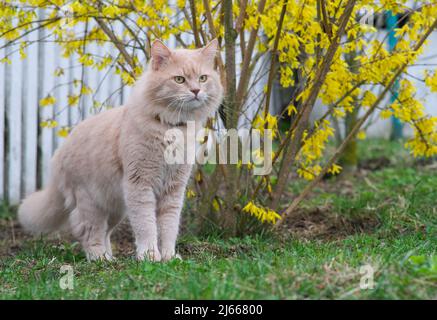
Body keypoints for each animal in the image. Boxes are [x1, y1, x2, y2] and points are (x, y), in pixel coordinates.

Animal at [17, 38, 223, 262]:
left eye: (203, 78)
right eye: (179, 79)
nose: (196, 91)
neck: (172, 128)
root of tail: (60, 152)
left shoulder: (173, 189)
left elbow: (169, 227)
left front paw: (168, 256)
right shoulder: (140, 184)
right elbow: (146, 226)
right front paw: (150, 255)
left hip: (116, 207)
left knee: (105, 232)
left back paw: (110, 257)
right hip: (91, 203)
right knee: (88, 232)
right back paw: (99, 258)